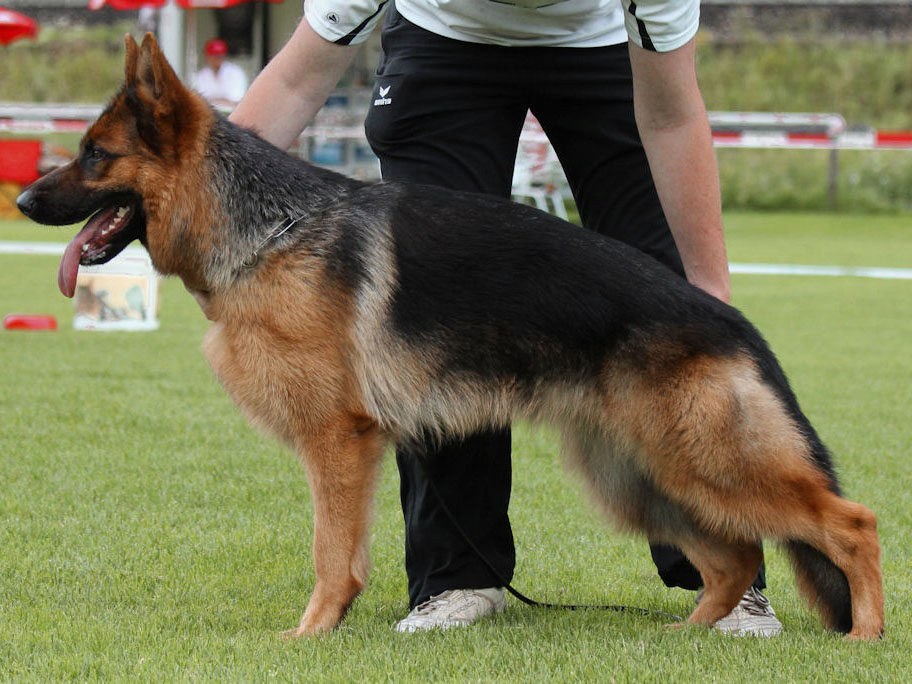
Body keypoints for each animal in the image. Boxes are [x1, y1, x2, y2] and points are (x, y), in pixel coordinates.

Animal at [16, 33, 884, 640]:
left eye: (94, 156)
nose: (20, 199)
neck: (271, 230)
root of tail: (730, 319)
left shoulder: (338, 442)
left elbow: (331, 555)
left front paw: (310, 634)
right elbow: (342, 553)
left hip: (705, 462)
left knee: (851, 525)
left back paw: (865, 636)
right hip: (641, 475)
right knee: (734, 559)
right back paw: (684, 637)